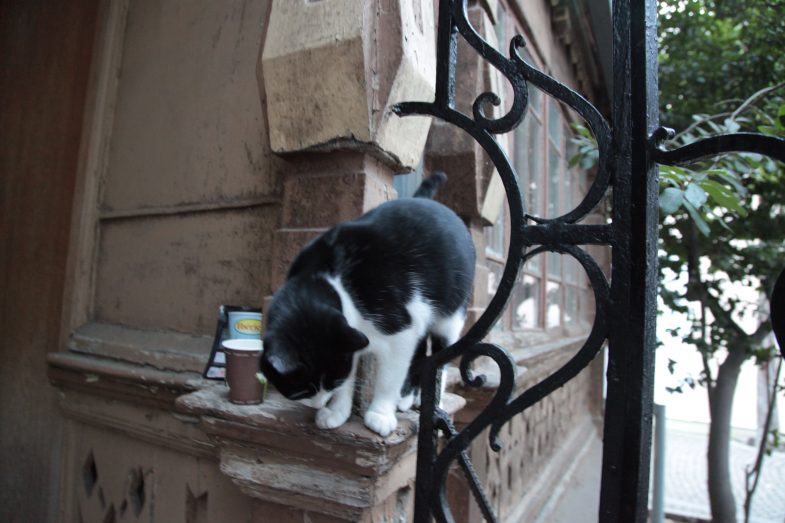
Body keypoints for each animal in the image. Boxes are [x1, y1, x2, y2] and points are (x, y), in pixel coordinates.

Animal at [260, 173, 474, 438]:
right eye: (303, 390)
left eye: (329, 382)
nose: (318, 403)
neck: (330, 279)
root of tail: (428, 201)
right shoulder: (348, 332)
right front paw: (337, 412)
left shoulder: (399, 329)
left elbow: (389, 378)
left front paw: (380, 414)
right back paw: (407, 397)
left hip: (450, 316)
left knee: (439, 359)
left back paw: (427, 400)